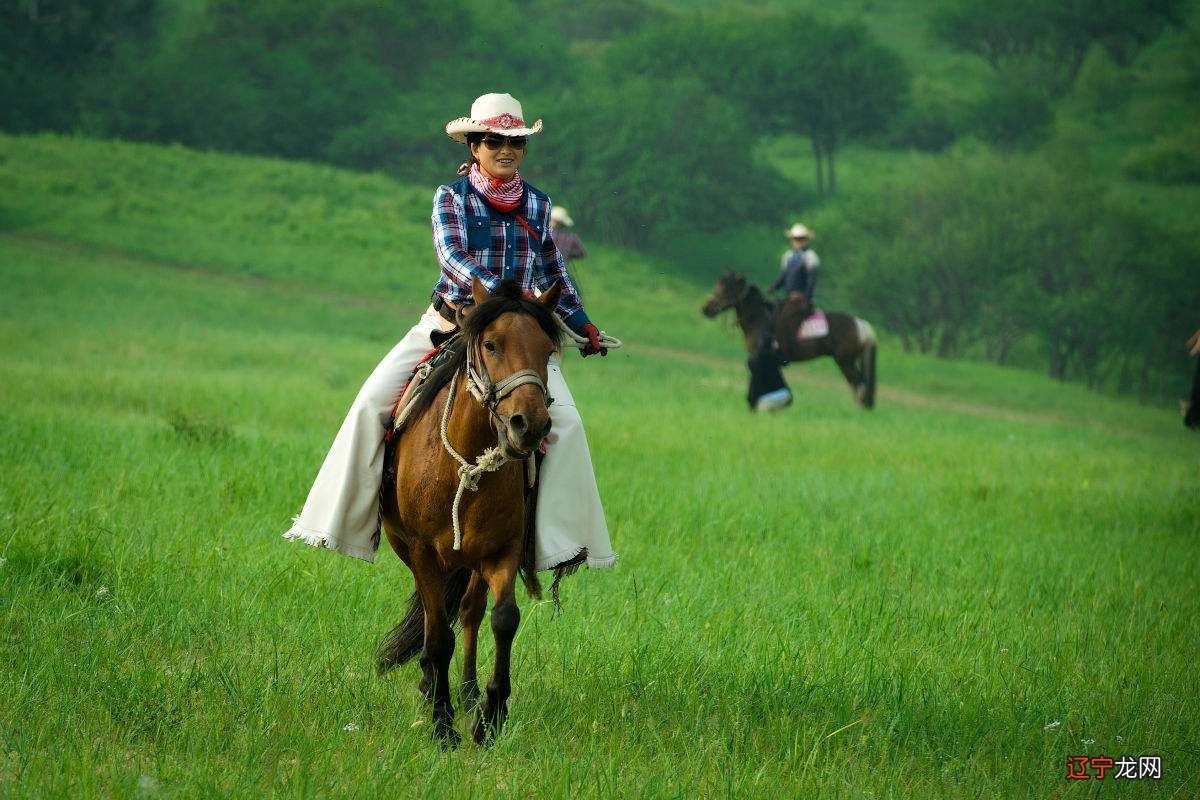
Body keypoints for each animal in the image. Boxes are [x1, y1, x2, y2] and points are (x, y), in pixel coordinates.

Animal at [376, 278, 559, 748]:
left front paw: (490, 717)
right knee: (435, 614)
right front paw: (442, 724)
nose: (529, 425)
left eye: (548, 350)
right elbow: (439, 633)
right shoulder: (422, 550)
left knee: (471, 611)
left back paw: (470, 692)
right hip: (409, 547)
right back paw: (431, 684)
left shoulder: (503, 549)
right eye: (491, 344)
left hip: (473, 558)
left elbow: (504, 619)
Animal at [700, 272, 878, 410]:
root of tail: (860, 324)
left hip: (845, 361)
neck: (760, 318)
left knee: (858, 384)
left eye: (728, 289)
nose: (706, 309)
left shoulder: (759, 356)